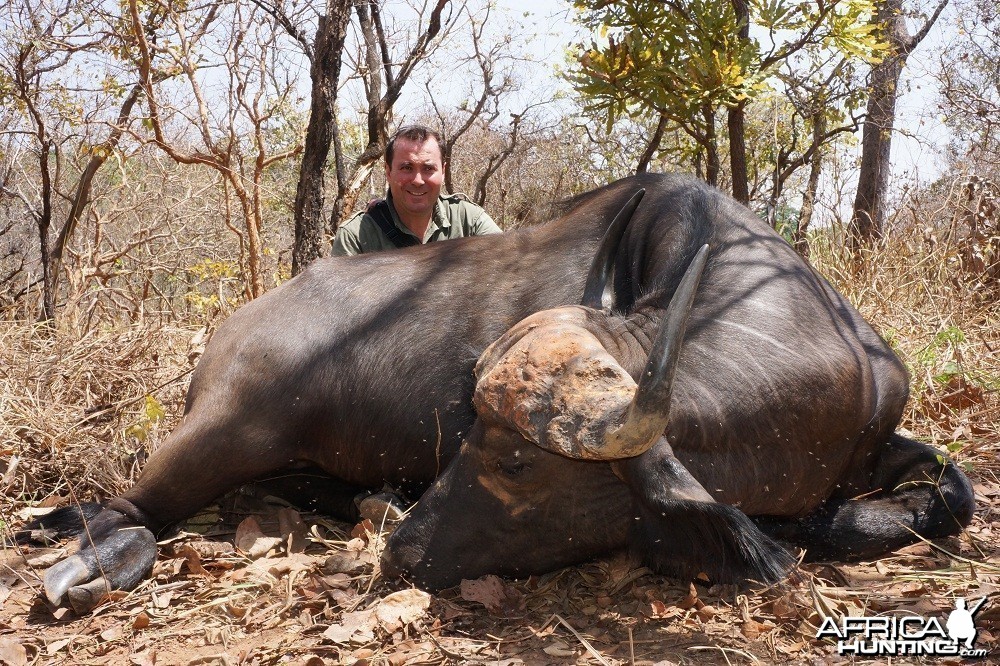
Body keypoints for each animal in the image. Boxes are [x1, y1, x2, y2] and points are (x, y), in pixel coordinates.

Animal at [27, 172, 972, 608]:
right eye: (473, 432)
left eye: (517, 459)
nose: (404, 553)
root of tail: (237, 327)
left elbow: (949, 497)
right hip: (225, 432)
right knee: (126, 512)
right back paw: (90, 567)